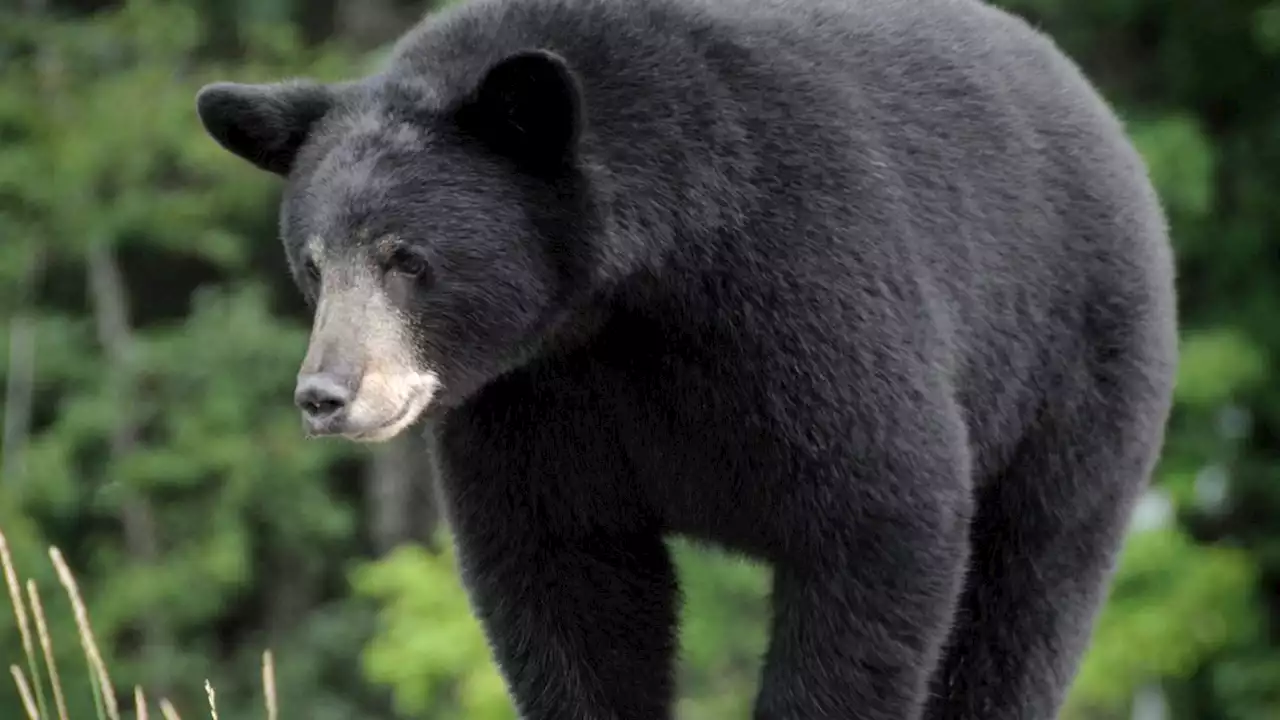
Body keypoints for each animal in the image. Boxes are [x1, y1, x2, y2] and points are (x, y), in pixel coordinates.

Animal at [192, 0, 1177, 712]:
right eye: (313, 264)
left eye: (408, 259)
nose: (326, 394)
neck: (621, 304)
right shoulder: (533, 403)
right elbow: (563, 579)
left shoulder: (805, 291)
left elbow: (881, 515)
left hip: (1074, 374)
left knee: (1026, 598)